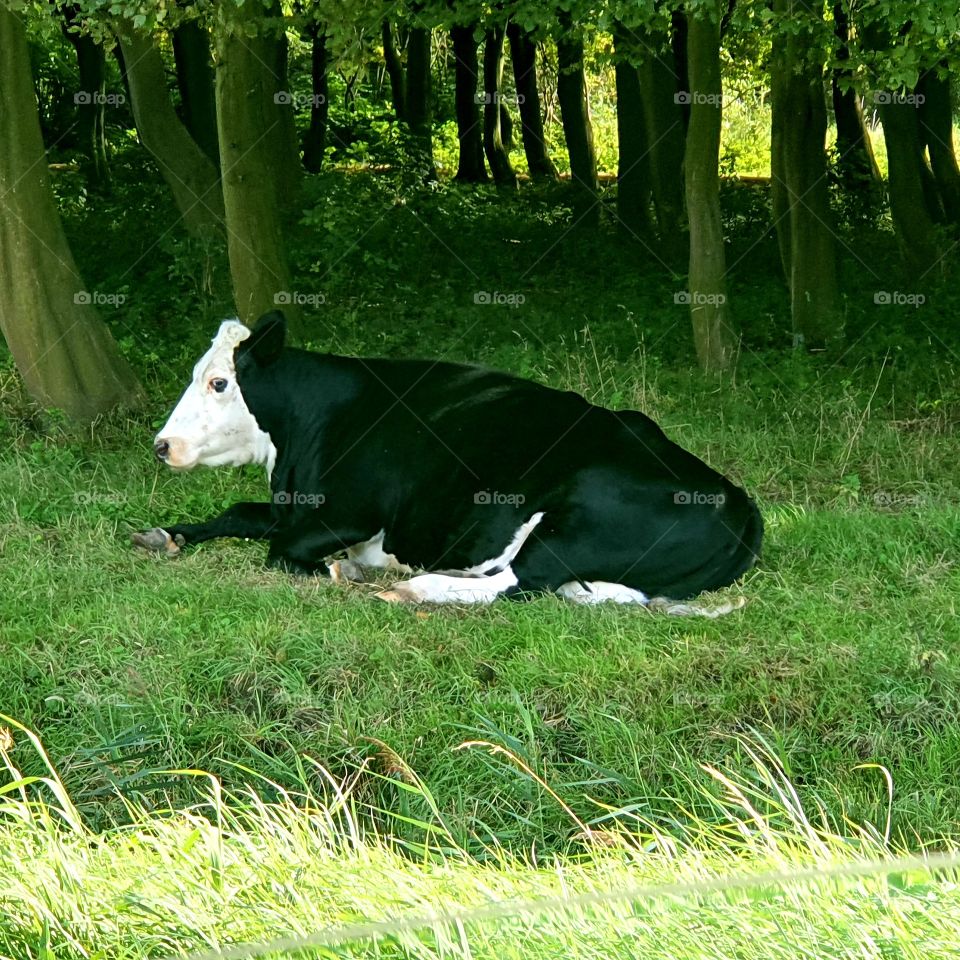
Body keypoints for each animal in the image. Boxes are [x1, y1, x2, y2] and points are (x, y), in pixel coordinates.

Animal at [138, 311, 762, 610]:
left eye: (220, 382)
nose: (162, 444)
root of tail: (739, 501)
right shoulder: (296, 504)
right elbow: (240, 513)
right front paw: (165, 534)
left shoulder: (348, 513)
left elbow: (281, 549)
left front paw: (345, 570)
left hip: (574, 523)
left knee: (521, 581)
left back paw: (416, 588)